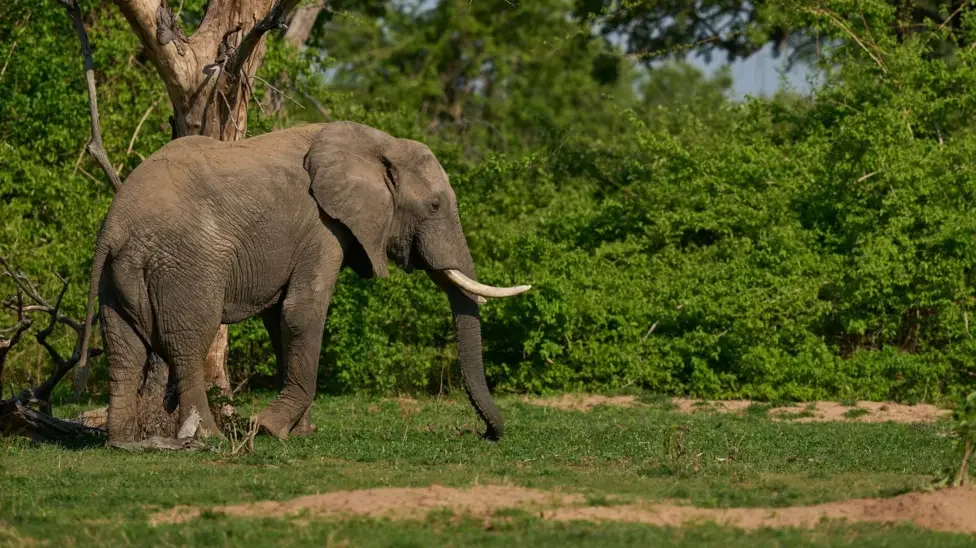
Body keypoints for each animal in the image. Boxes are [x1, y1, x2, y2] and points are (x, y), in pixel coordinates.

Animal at [77, 121, 530, 442]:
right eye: (434, 205)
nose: (484, 435)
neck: (377, 143)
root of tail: (112, 229)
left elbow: (281, 319)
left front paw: (298, 432)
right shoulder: (322, 227)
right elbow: (303, 312)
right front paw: (269, 429)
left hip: (115, 279)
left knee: (124, 352)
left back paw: (121, 442)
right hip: (185, 266)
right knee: (188, 346)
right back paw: (209, 436)